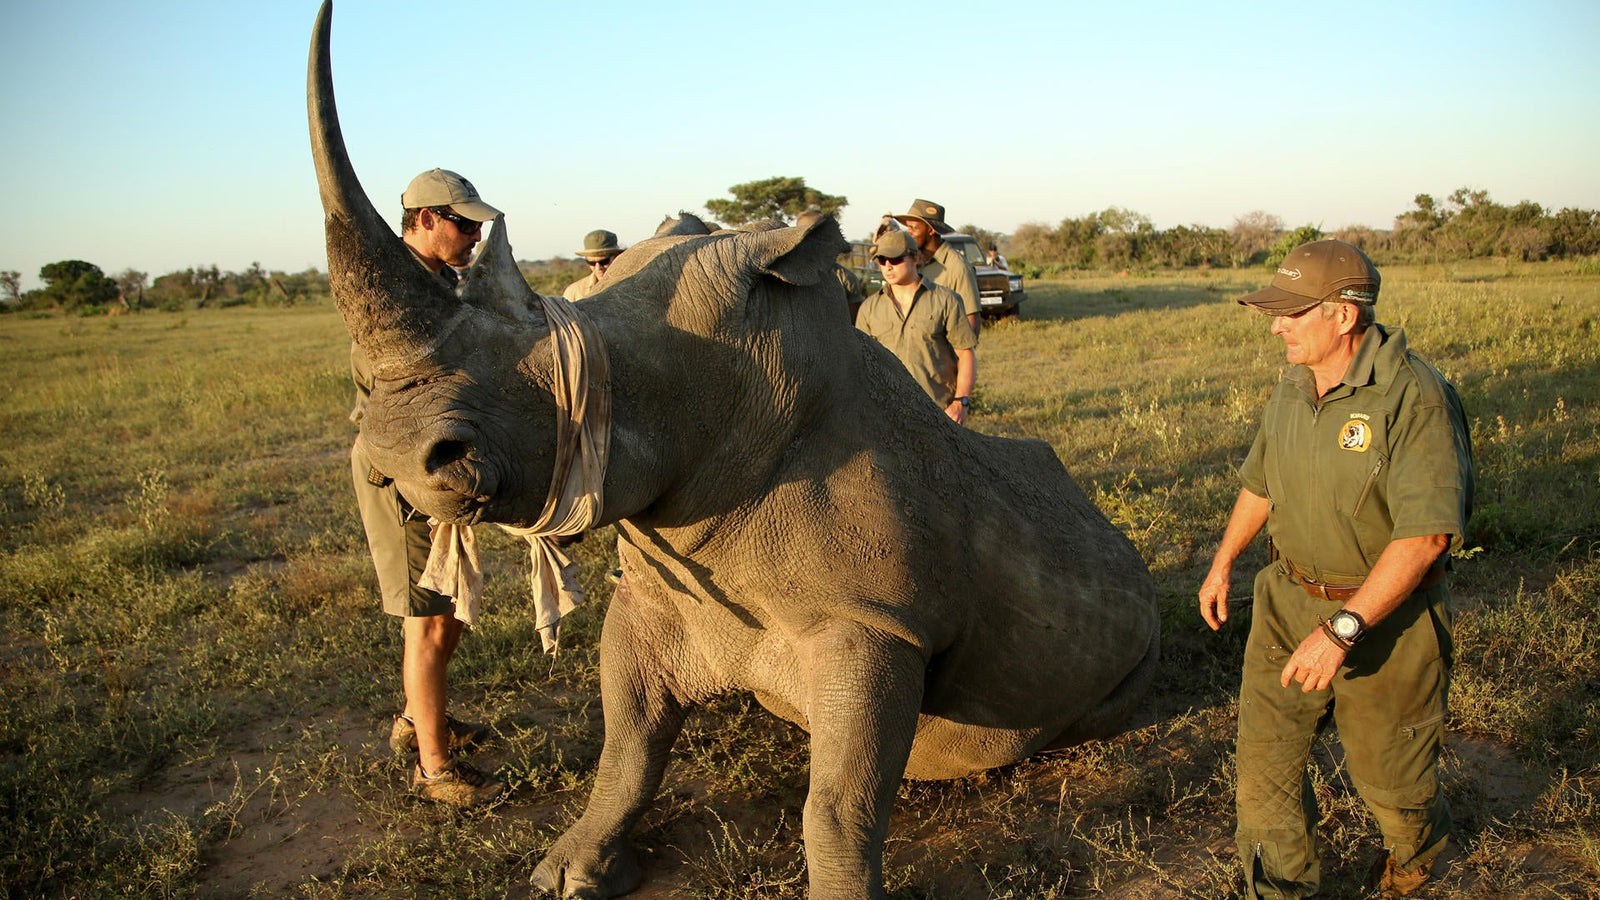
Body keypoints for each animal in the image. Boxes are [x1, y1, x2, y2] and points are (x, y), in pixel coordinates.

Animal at [308, 4, 1160, 896]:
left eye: (574, 365)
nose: (396, 457)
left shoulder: (874, 625)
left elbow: (839, 804)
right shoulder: (657, 592)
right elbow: (627, 749)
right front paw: (567, 875)